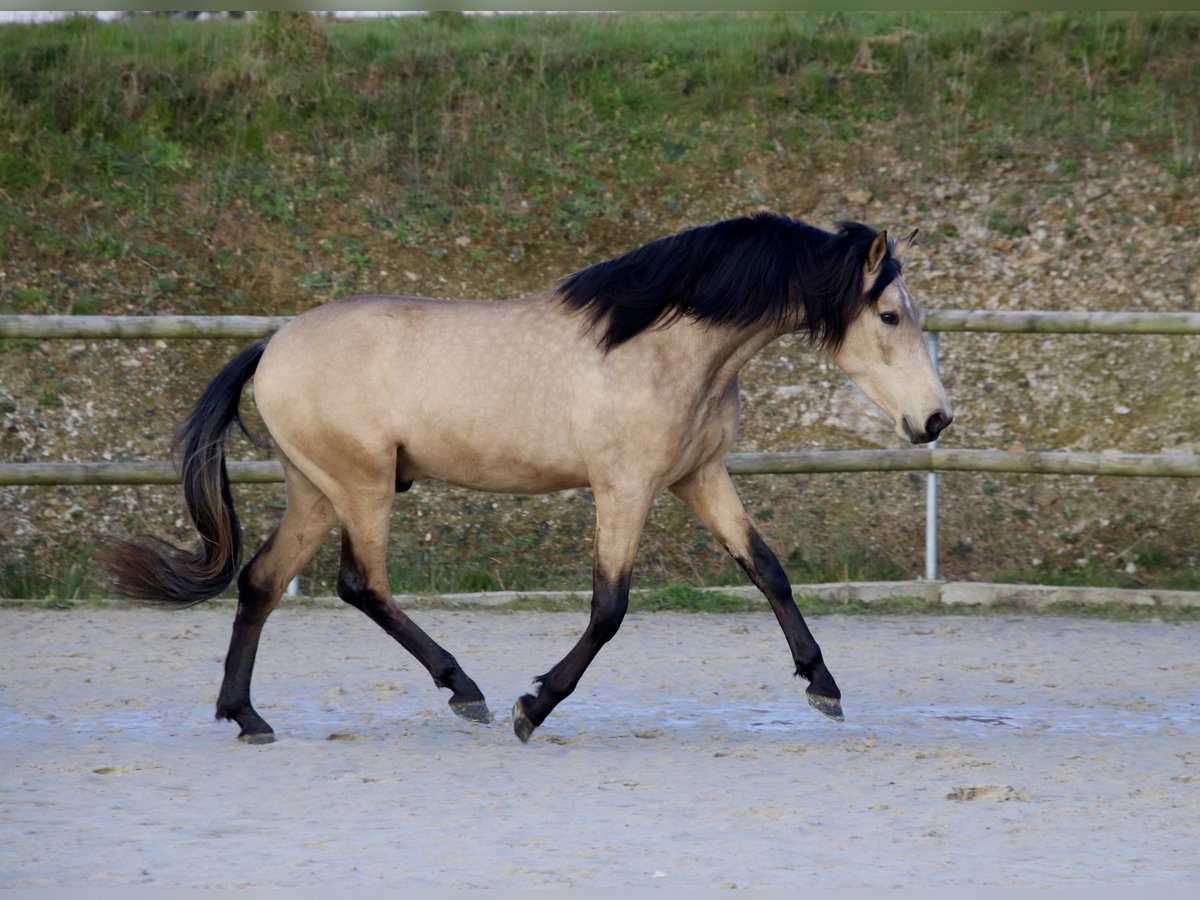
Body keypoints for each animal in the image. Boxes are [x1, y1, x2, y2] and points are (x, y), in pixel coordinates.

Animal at [110, 213, 955, 748]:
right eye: (889, 315)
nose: (936, 419)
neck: (665, 344)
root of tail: (273, 345)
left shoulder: (698, 477)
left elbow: (768, 571)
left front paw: (824, 686)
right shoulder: (624, 487)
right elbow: (610, 608)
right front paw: (532, 706)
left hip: (316, 491)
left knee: (261, 582)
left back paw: (247, 717)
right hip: (361, 488)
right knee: (361, 584)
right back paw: (467, 692)